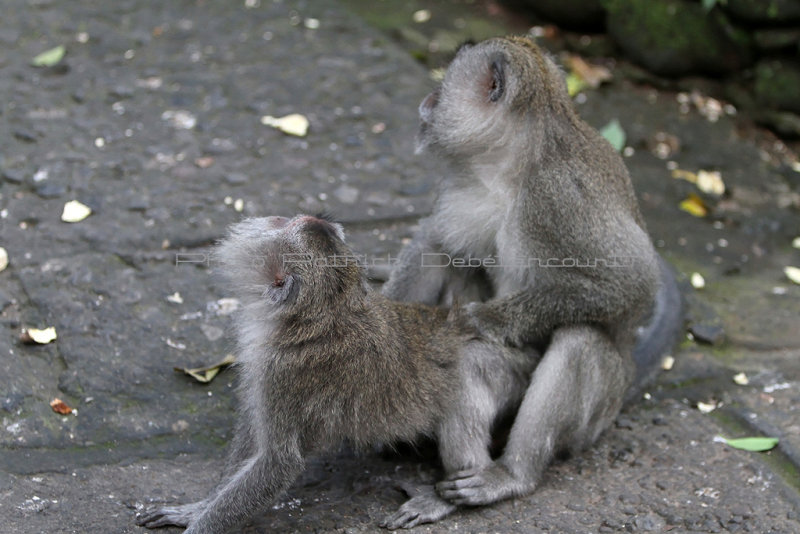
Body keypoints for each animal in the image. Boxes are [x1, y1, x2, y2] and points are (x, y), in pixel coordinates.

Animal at [138, 216, 536, 532]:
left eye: (283, 222)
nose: (315, 216)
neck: (321, 318)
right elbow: (253, 435)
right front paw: (196, 509)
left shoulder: (282, 373)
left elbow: (278, 462)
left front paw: (201, 522)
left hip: (506, 368)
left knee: (468, 371)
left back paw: (457, 492)